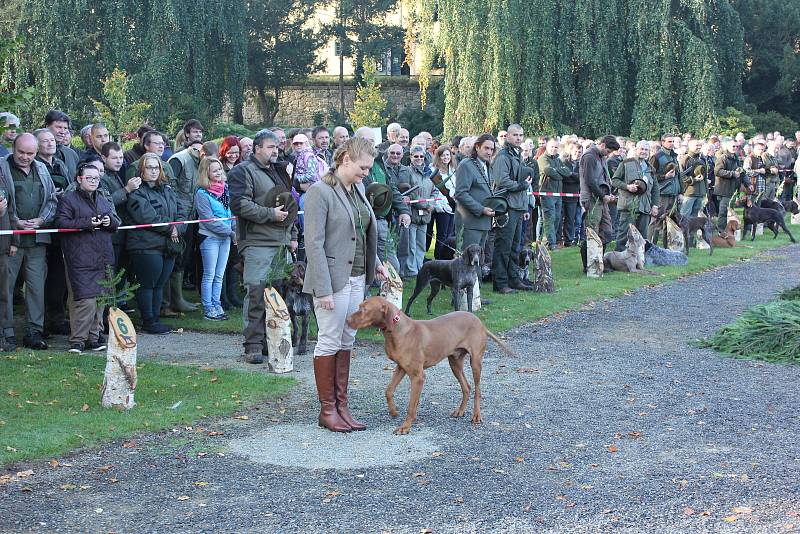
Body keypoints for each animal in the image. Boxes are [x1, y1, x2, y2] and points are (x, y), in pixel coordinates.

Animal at [346, 296, 512, 438]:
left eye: (364, 309)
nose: (346, 320)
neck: (397, 330)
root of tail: (480, 322)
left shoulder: (418, 376)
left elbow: (411, 405)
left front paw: (405, 427)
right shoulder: (401, 368)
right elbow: (389, 391)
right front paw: (393, 412)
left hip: (475, 361)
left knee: (477, 389)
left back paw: (476, 416)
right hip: (455, 362)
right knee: (467, 386)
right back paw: (460, 411)